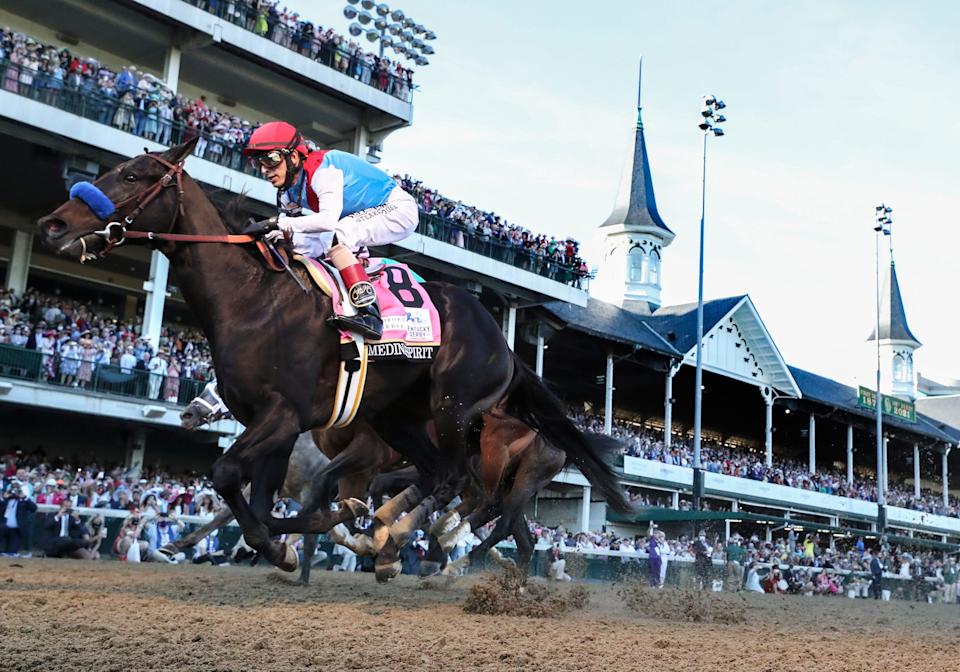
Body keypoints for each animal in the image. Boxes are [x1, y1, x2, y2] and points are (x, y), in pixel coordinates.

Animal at [37, 139, 632, 576]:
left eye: (134, 176)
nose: (54, 223)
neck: (251, 300)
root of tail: (507, 346)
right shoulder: (277, 426)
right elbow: (262, 504)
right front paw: (293, 542)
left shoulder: (286, 415)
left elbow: (233, 475)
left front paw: (313, 535)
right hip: (400, 418)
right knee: (465, 495)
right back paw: (401, 537)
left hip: (458, 412)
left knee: (464, 489)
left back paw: (419, 543)